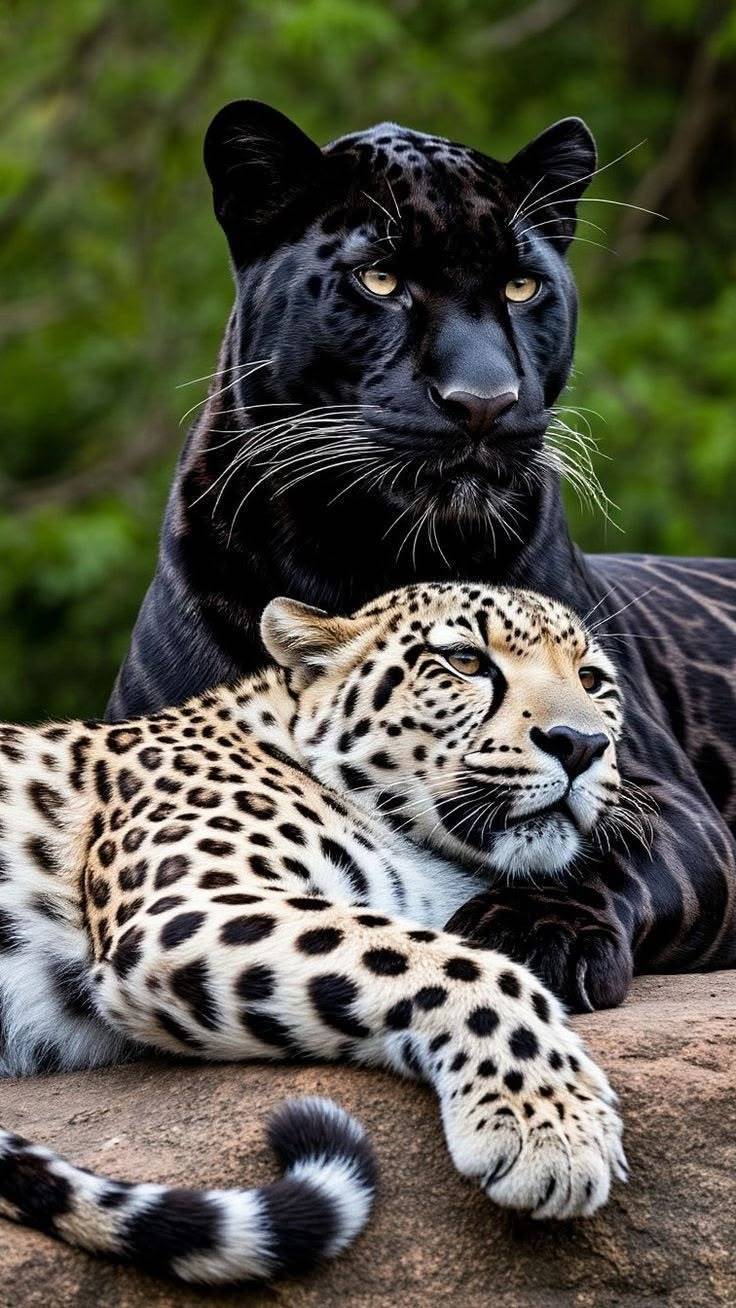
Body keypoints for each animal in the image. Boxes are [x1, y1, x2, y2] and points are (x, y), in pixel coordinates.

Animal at [0, 582, 627, 1286]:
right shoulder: (182, 906)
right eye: (465, 662)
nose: (580, 744)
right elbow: (460, 966)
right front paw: (554, 1126)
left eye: (593, 680)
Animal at [108, 99, 736, 1012]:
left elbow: (596, 843)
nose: (483, 403)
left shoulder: (671, 797)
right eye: (379, 281)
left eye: (521, 286)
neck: (367, 552)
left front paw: (533, 932)